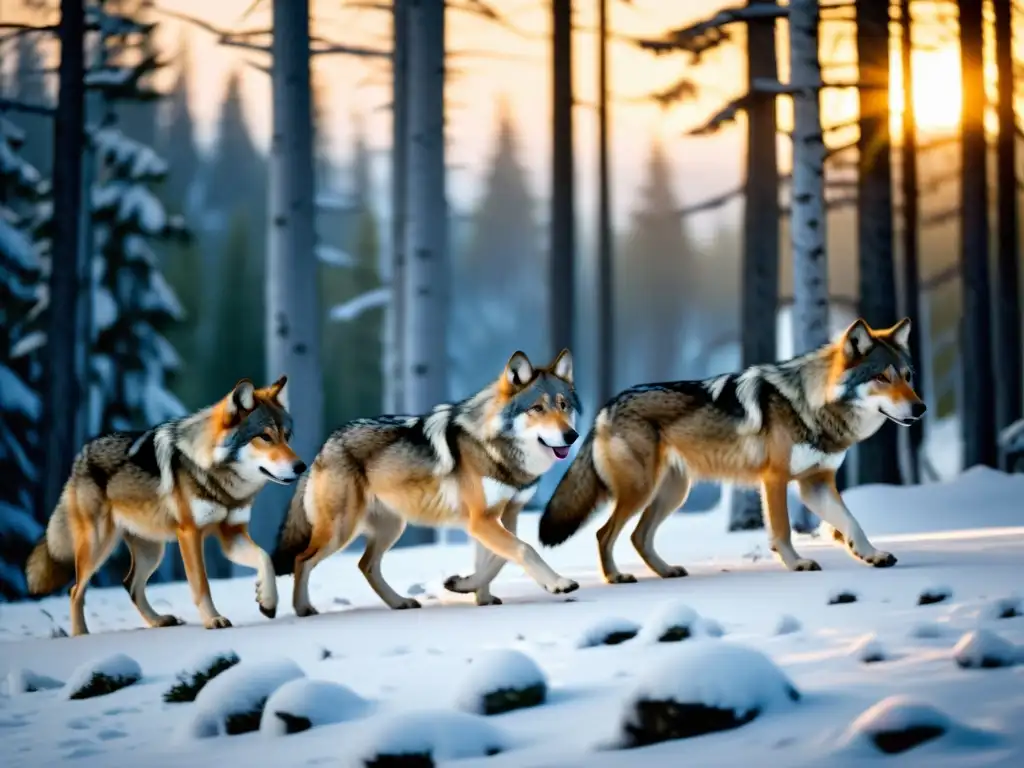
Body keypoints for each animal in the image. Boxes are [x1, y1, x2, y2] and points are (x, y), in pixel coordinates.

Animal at [24, 378, 303, 638]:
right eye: (265, 436)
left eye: (287, 437)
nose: (300, 466)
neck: (219, 481)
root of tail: (81, 455)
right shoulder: (190, 534)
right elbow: (201, 584)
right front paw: (213, 620)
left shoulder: (231, 534)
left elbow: (265, 558)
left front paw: (267, 601)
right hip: (98, 547)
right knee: (75, 590)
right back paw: (80, 634)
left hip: (152, 551)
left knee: (130, 585)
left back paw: (158, 621)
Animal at [276, 348, 585, 614]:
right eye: (537, 408)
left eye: (564, 405)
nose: (572, 436)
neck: (496, 449)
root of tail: (325, 445)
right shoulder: (480, 520)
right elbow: (523, 549)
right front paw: (559, 584)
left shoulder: (503, 515)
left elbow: (495, 560)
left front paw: (469, 590)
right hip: (341, 531)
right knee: (302, 559)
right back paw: (303, 609)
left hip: (391, 527)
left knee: (366, 565)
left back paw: (399, 602)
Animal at [540, 319, 925, 581]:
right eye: (882, 377)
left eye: (908, 376)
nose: (920, 408)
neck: (813, 405)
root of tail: (606, 407)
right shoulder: (775, 479)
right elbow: (782, 530)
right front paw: (797, 563)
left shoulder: (816, 484)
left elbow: (852, 523)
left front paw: (873, 554)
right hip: (640, 491)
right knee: (604, 533)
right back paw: (616, 577)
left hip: (672, 493)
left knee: (638, 537)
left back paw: (667, 571)